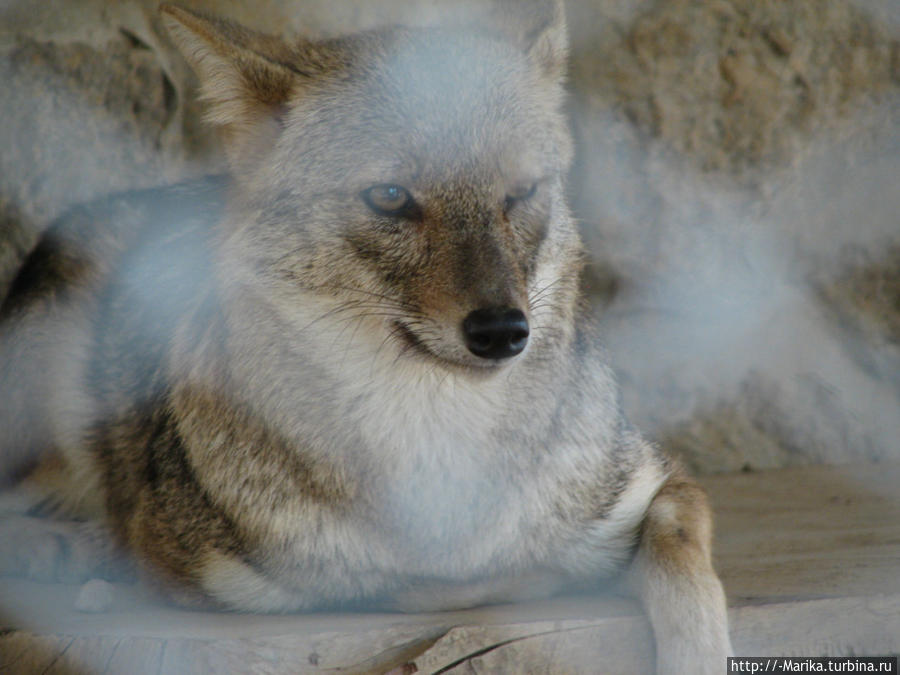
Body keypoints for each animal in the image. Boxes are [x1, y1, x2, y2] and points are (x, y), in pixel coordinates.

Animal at [0, 2, 732, 672]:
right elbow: (407, 587)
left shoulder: (655, 485)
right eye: (390, 197)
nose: (501, 331)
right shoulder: (227, 577)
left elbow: (682, 562)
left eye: (520, 192)